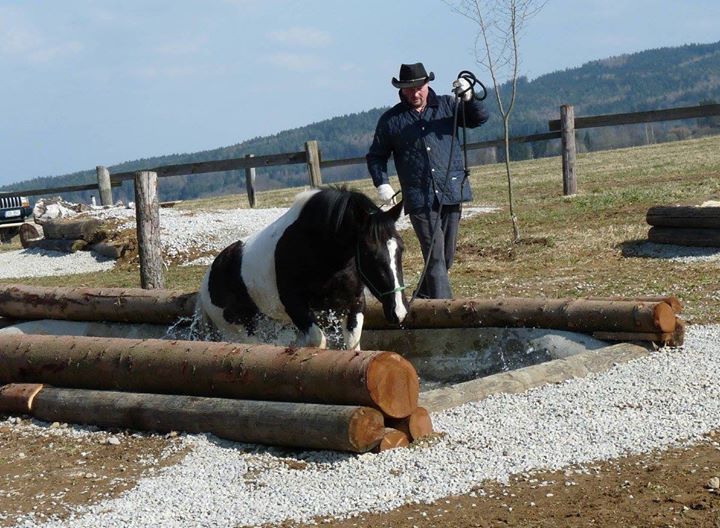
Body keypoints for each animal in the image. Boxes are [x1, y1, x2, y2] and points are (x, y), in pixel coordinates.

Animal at [197, 187, 408, 350]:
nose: (398, 312)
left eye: (401, 248)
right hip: (239, 328)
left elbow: (352, 345)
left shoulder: (354, 303)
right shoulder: (294, 304)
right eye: (367, 253)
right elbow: (317, 340)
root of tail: (209, 278)